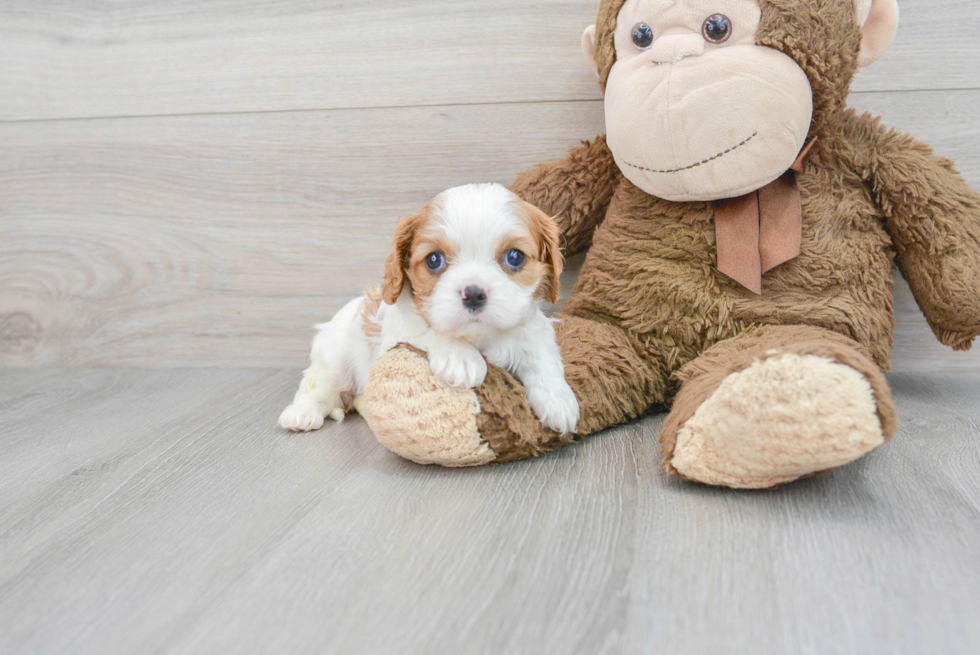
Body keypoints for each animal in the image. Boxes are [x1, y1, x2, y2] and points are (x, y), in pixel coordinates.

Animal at [280, 182, 580, 436]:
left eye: (514, 257)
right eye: (434, 260)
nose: (473, 294)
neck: (478, 337)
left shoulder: (533, 328)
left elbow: (542, 356)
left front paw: (560, 401)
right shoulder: (397, 331)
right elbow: (424, 328)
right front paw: (462, 358)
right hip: (333, 359)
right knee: (316, 388)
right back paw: (301, 414)